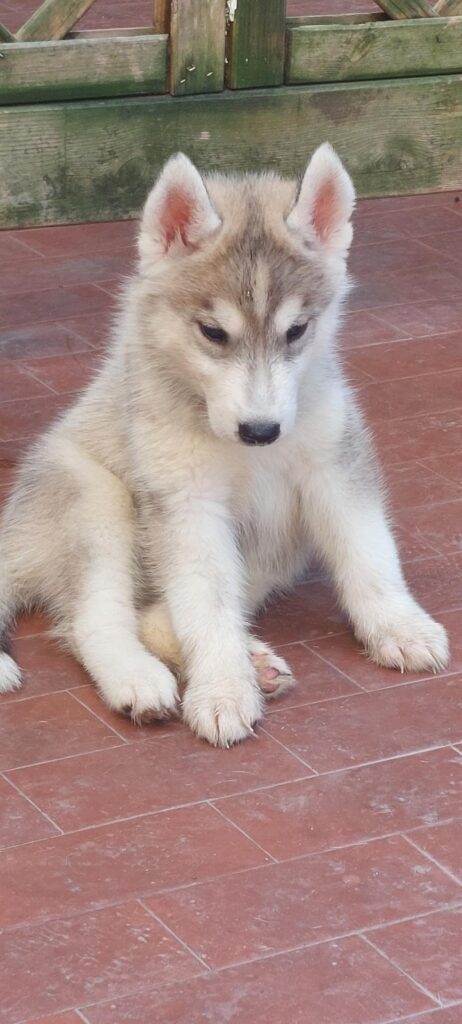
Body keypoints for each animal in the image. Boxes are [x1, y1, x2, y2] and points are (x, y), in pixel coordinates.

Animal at [0, 146, 450, 745]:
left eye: (297, 331)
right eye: (213, 333)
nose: (260, 430)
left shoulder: (336, 466)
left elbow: (369, 555)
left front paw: (399, 626)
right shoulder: (187, 504)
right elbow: (207, 606)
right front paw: (222, 690)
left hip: (265, 557)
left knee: (153, 611)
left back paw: (252, 661)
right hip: (93, 500)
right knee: (92, 618)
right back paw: (139, 678)